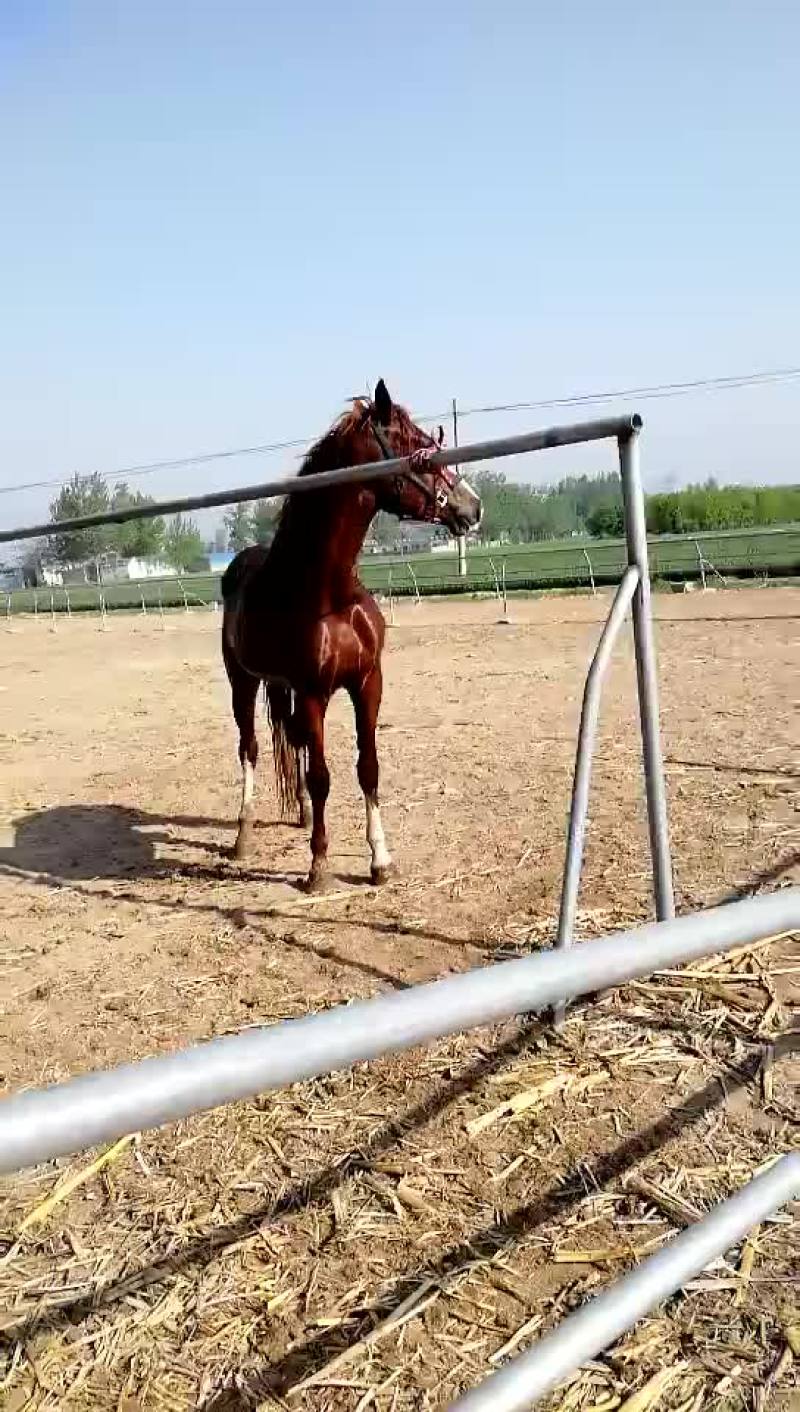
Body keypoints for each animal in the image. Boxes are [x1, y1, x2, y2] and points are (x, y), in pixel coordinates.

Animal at [221, 379, 482, 892]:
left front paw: (380, 859)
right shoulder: (314, 692)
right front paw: (318, 867)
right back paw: (244, 835)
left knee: (292, 744)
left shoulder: (367, 682)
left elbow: (368, 767)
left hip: (280, 686)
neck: (328, 593)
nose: (472, 506)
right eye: (421, 447)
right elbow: (323, 776)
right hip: (243, 681)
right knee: (251, 749)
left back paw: (301, 815)